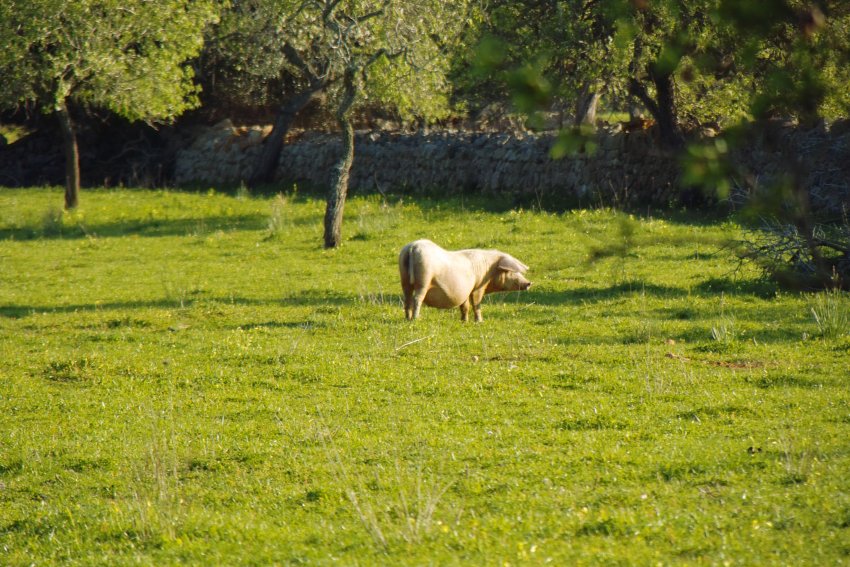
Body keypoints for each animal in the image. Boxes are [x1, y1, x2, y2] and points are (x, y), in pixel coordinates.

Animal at [394, 237, 528, 322]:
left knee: (407, 299)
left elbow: (465, 306)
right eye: (512, 271)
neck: (489, 269)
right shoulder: (477, 287)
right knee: (417, 298)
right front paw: (480, 321)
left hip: (404, 277)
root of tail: (413, 247)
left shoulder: (466, 290)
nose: (529, 283)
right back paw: (416, 319)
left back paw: (407, 318)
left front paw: (464, 321)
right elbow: (476, 303)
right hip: (424, 277)